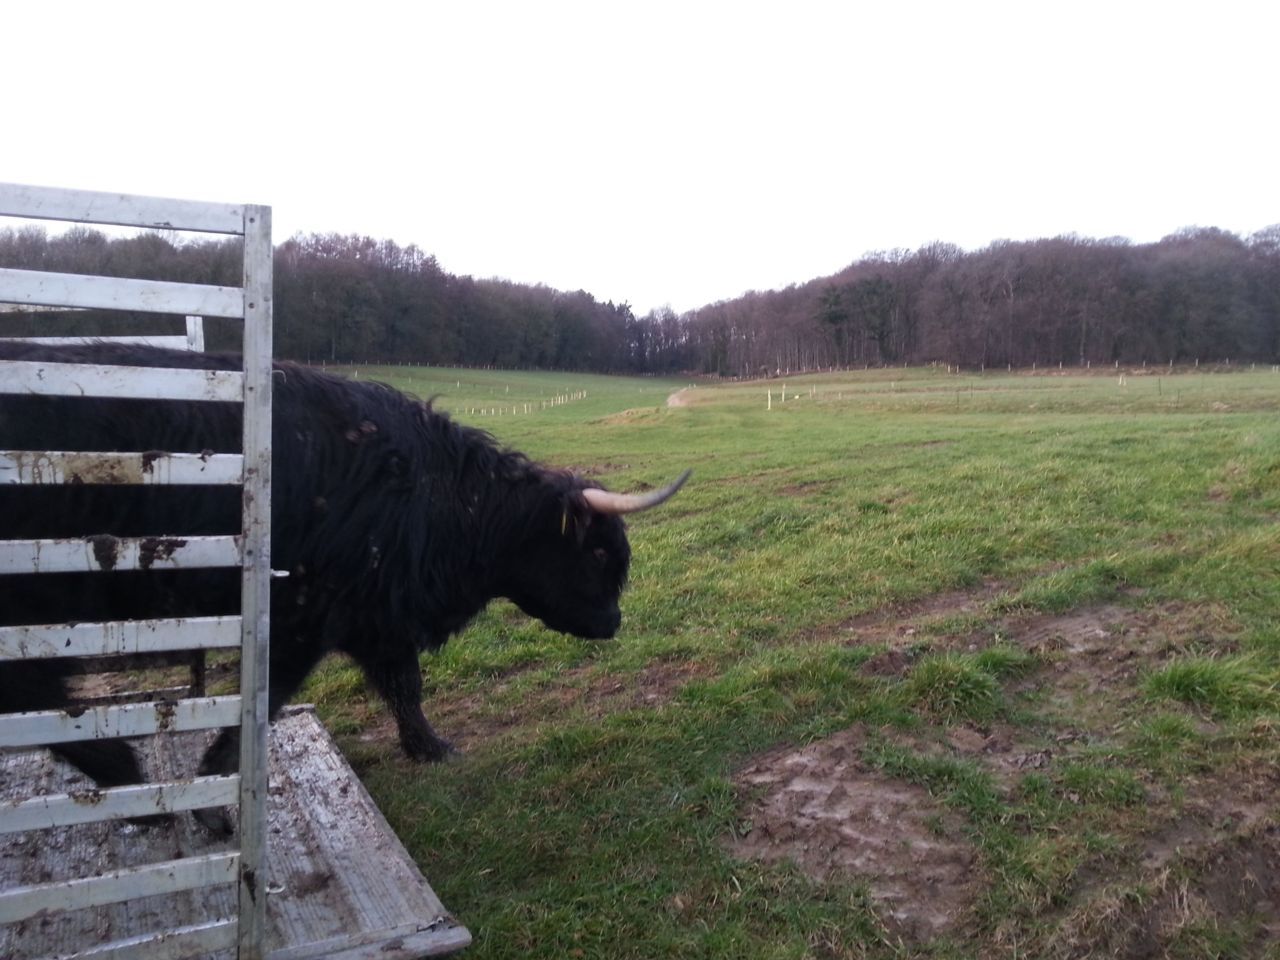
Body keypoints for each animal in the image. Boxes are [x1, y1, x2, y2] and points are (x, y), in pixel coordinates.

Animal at [2, 340, 691, 829]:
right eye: (598, 551)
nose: (613, 623)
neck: (442, 503)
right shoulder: (303, 616)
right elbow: (263, 706)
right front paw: (217, 802)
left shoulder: (376, 613)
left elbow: (405, 687)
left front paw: (430, 748)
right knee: (34, 693)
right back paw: (127, 777)